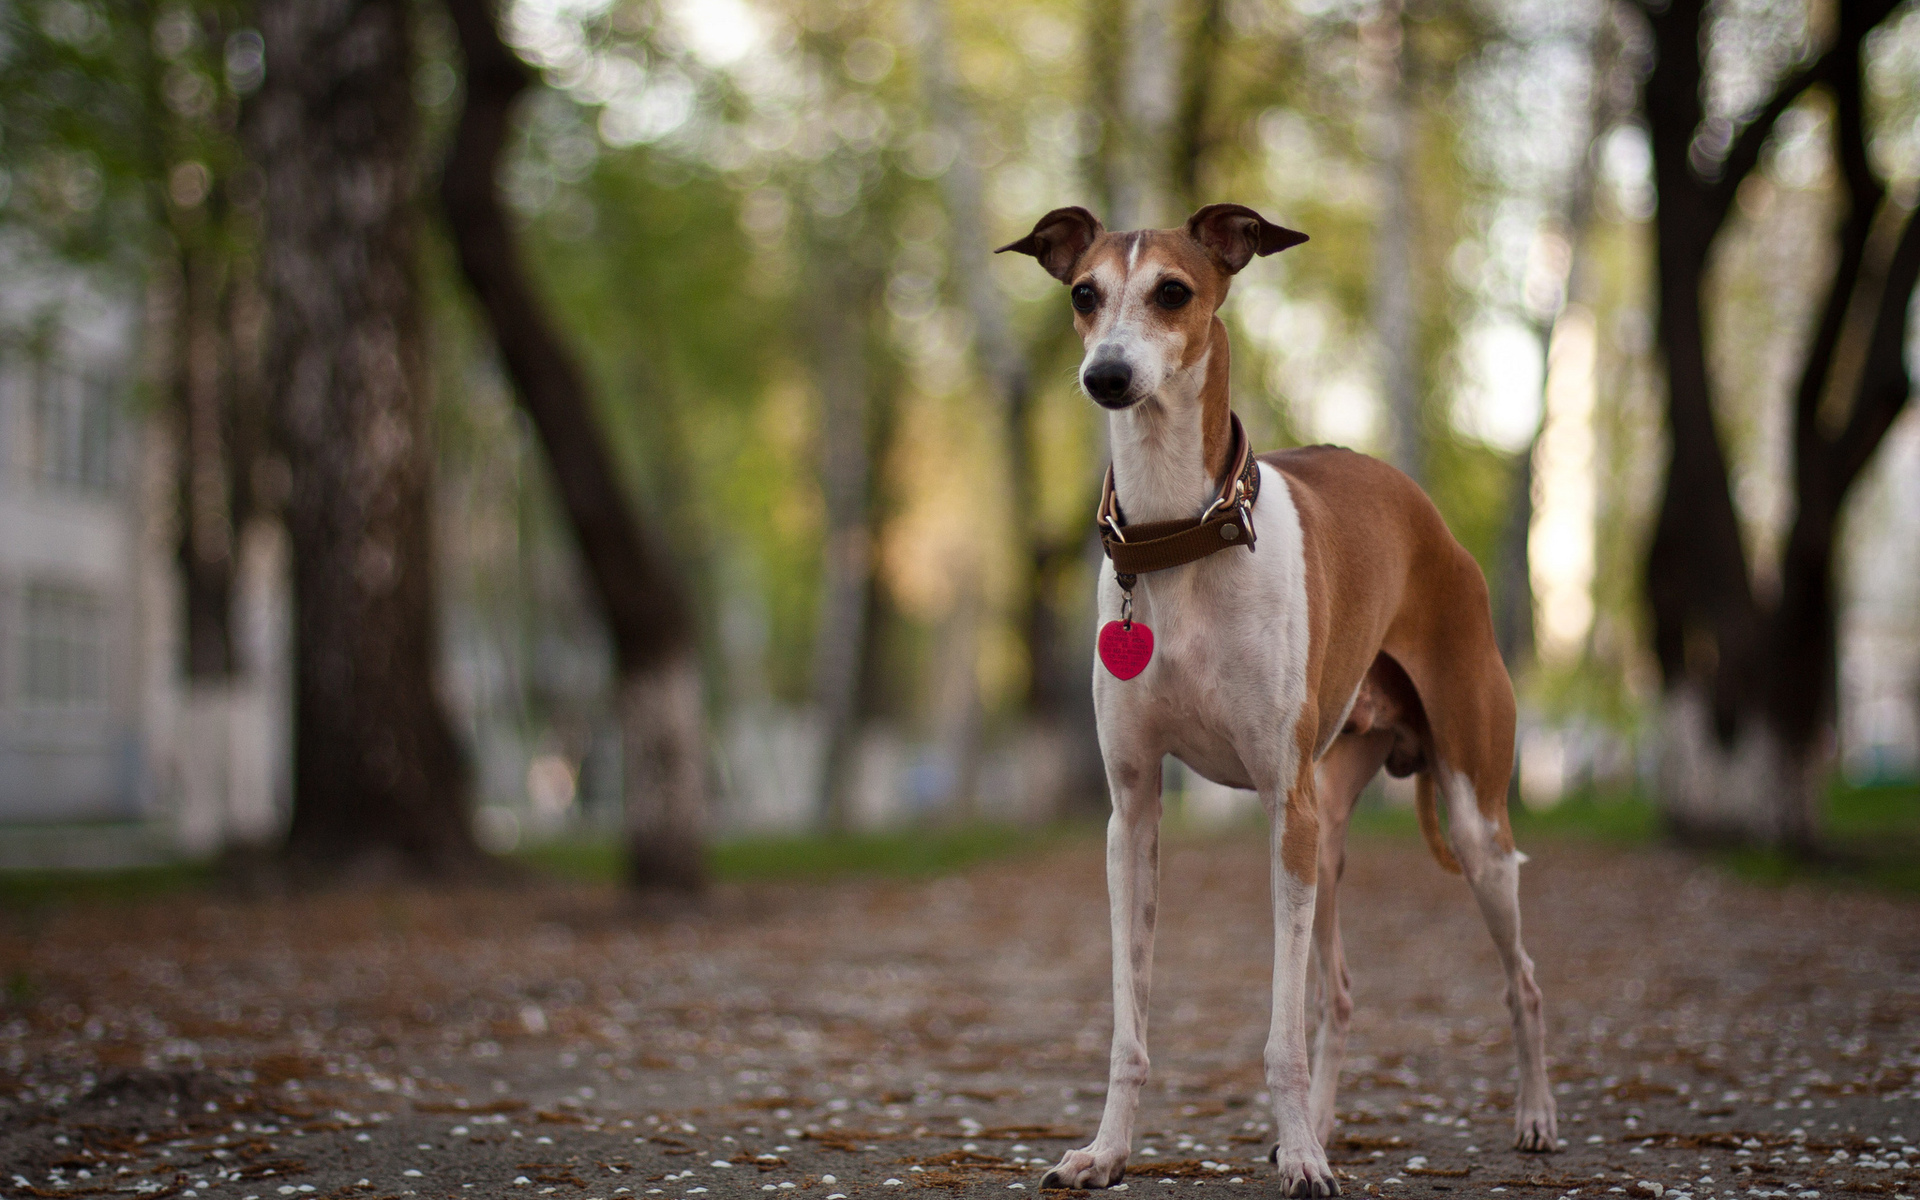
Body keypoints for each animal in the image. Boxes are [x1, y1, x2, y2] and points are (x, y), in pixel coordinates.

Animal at [998, 201, 1551, 1190]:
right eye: (1084, 294)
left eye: (1173, 292)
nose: (1107, 377)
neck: (1178, 538)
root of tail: (1428, 516)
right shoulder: (1133, 813)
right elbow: (1131, 1022)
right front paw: (1106, 1151)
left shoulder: (1279, 810)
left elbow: (1279, 1035)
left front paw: (1300, 1160)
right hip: (1326, 831)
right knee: (1339, 994)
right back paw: (1324, 1126)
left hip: (1466, 819)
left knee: (1519, 978)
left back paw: (1531, 1117)